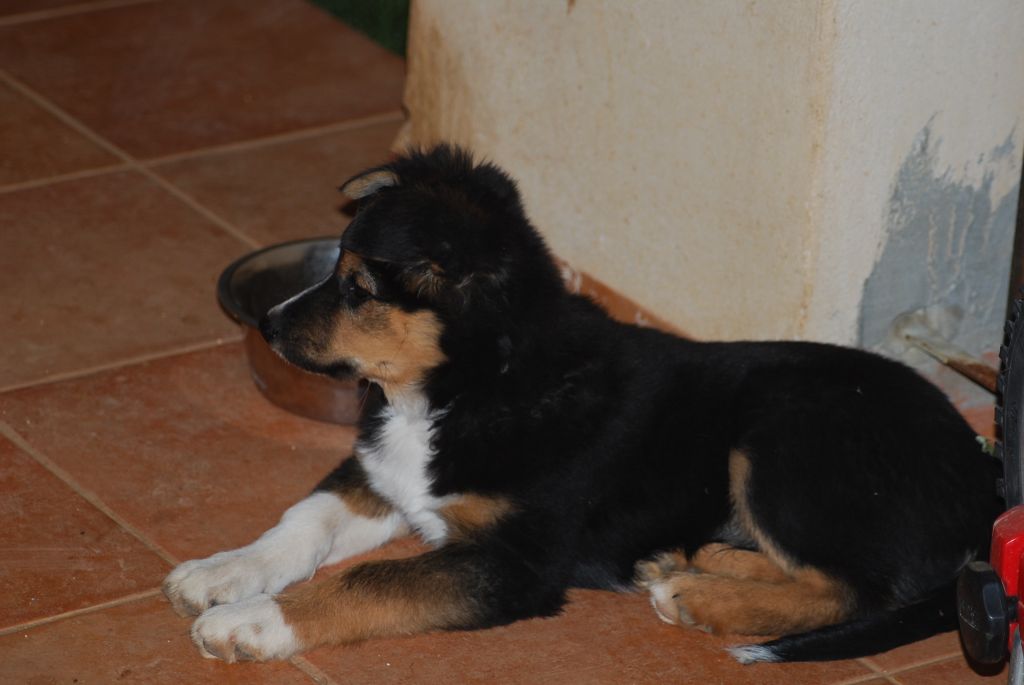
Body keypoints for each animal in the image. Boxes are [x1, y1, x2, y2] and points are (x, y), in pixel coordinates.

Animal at [165, 144, 999, 663]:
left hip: (780, 438)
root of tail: (982, 480)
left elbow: (372, 581)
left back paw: (701, 595)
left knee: (855, 587)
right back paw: (696, 560)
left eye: (359, 286)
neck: (463, 391)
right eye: (335, 266)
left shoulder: (518, 561)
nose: (269, 325)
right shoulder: (383, 476)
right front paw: (220, 572)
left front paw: (250, 622)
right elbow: (301, 521)